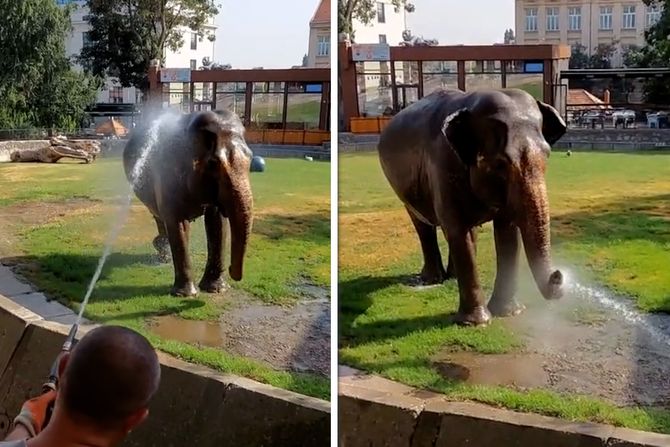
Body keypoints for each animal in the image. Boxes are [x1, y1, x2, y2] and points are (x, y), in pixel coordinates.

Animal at [123, 109, 255, 298]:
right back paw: (162, 250)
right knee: (159, 216)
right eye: (213, 163)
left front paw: (216, 289)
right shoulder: (167, 176)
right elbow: (176, 223)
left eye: (251, 158)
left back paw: (162, 250)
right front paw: (185, 294)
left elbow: (217, 224)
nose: (232, 270)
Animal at [378, 87, 568, 328]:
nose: (559, 276)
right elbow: (458, 230)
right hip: (405, 192)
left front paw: (509, 313)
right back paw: (432, 279)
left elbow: (507, 233)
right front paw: (476, 323)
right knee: (423, 224)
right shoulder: (442, 166)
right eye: (500, 164)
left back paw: (452, 276)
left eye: (547, 155)